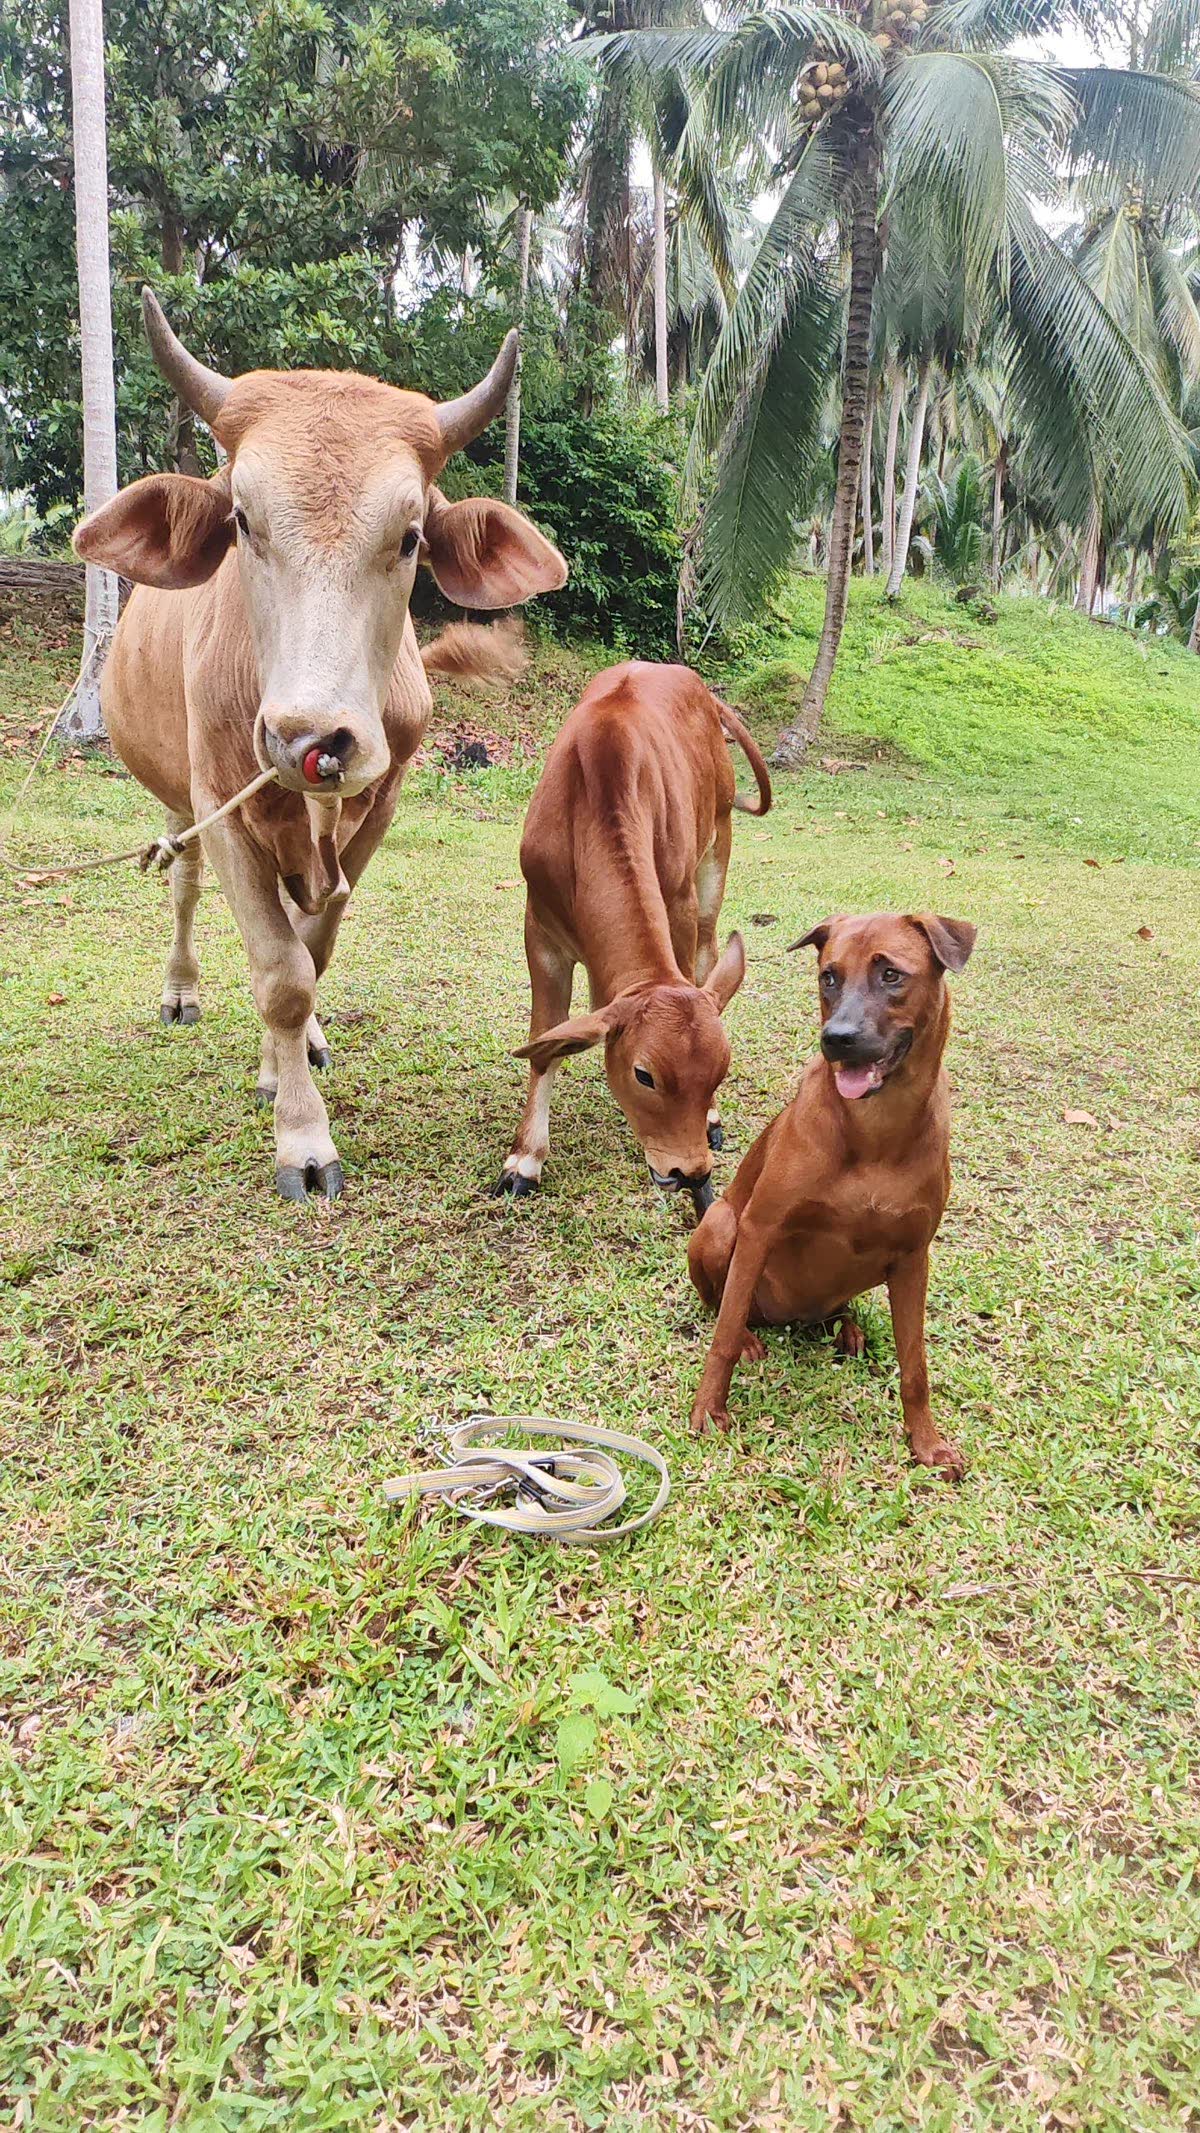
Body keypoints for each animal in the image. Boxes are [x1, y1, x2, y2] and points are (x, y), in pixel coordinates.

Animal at [73, 290, 567, 1200]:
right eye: (242, 520)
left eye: (410, 536)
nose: (310, 732)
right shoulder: (221, 804)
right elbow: (278, 974)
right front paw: (302, 1139)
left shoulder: (382, 801)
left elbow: (315, 946)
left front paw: (291, 1059)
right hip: (178, 799)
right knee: (186, 886)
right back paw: (182, 992)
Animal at [495, 661, 771, 1213]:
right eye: (645, 1075)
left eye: (721, 1071)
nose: (691, 1174)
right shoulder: (540, 934)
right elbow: (544, 1042)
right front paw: (524, 1161)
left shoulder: (679, 905)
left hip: (718, 850)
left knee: (708, 955)